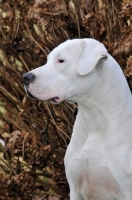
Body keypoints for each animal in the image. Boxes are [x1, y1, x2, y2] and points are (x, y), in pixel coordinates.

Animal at [23, 38, 132, 199]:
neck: (94, 119)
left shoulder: (125, 191)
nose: (25, 77)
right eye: (48, 60)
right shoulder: (74, 189)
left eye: (61, 60)